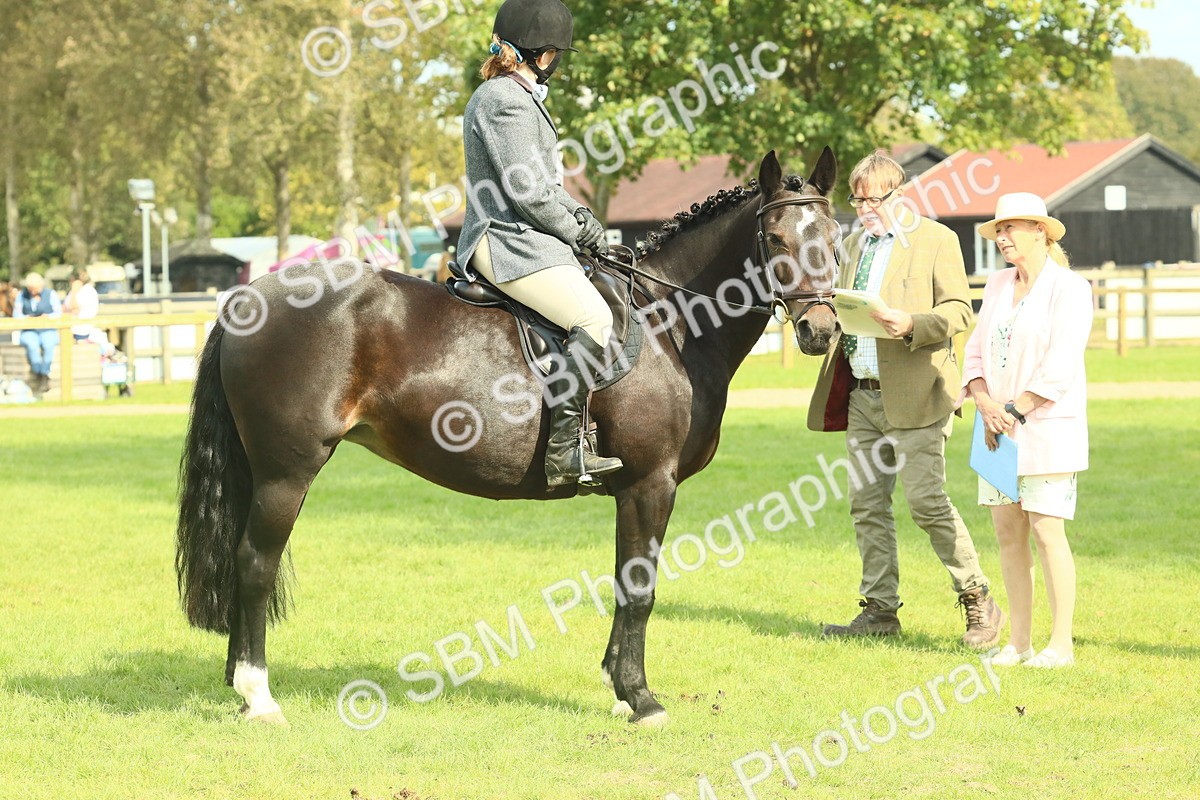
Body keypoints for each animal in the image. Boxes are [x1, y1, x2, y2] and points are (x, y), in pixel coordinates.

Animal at [175, 148, 842, 727]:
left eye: (835, 239)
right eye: (775, 239)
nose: (819, 330)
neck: (667, 323)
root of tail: (249, 297)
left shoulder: (634, 490)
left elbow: (622, 580)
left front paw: (616, 684)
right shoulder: (651, 482)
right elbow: (640, 588)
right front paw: (640, 698)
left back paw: (238, 683)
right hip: (287, 472)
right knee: (254, 562)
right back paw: (259, 695)